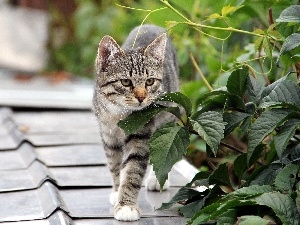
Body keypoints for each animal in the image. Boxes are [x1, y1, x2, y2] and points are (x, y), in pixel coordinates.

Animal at [92, 24, 179, 221]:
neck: (119, 114)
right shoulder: (108, 135)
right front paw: (117, 191)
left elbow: (132, 170)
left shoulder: (141, 133)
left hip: (169, 115)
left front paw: (126, 206)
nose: (141, 97)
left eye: (150, 81)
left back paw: (156, 179)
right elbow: (115, 165)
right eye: (125, 82)